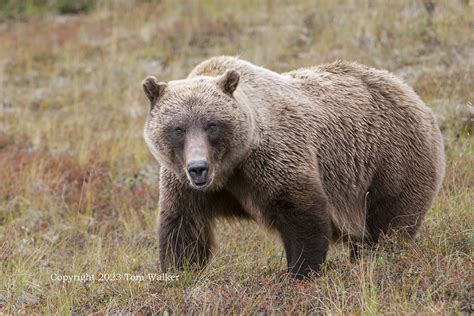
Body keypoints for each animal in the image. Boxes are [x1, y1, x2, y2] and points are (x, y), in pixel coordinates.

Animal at [141, 56, 444, 278]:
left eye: (212, 125)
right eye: (178, 129)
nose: (198, 168)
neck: (230, 167)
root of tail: (410, 92)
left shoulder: (273, 160)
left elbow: (302, 213)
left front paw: (300, 272)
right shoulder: (183, 184)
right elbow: (183, 226)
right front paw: (180, 272)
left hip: (391, 159)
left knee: (390, 223)